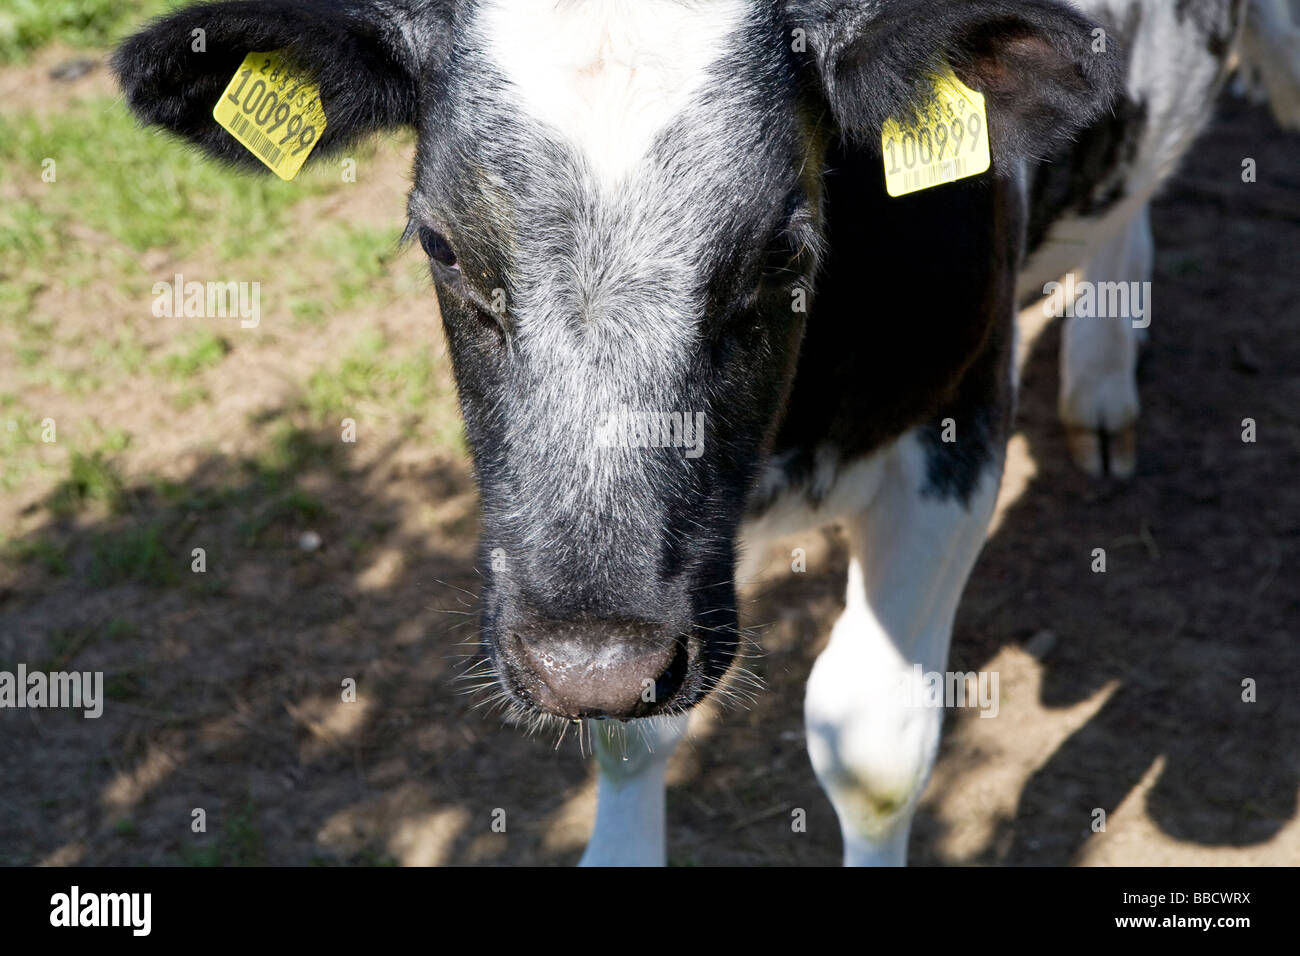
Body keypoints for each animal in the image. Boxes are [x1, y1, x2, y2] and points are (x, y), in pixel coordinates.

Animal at [115, 0, 1121, 866]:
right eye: (441, 246)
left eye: (783, 250)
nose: (590, 662)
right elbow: (631, 742)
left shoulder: (960, 422)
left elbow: (872, 750)